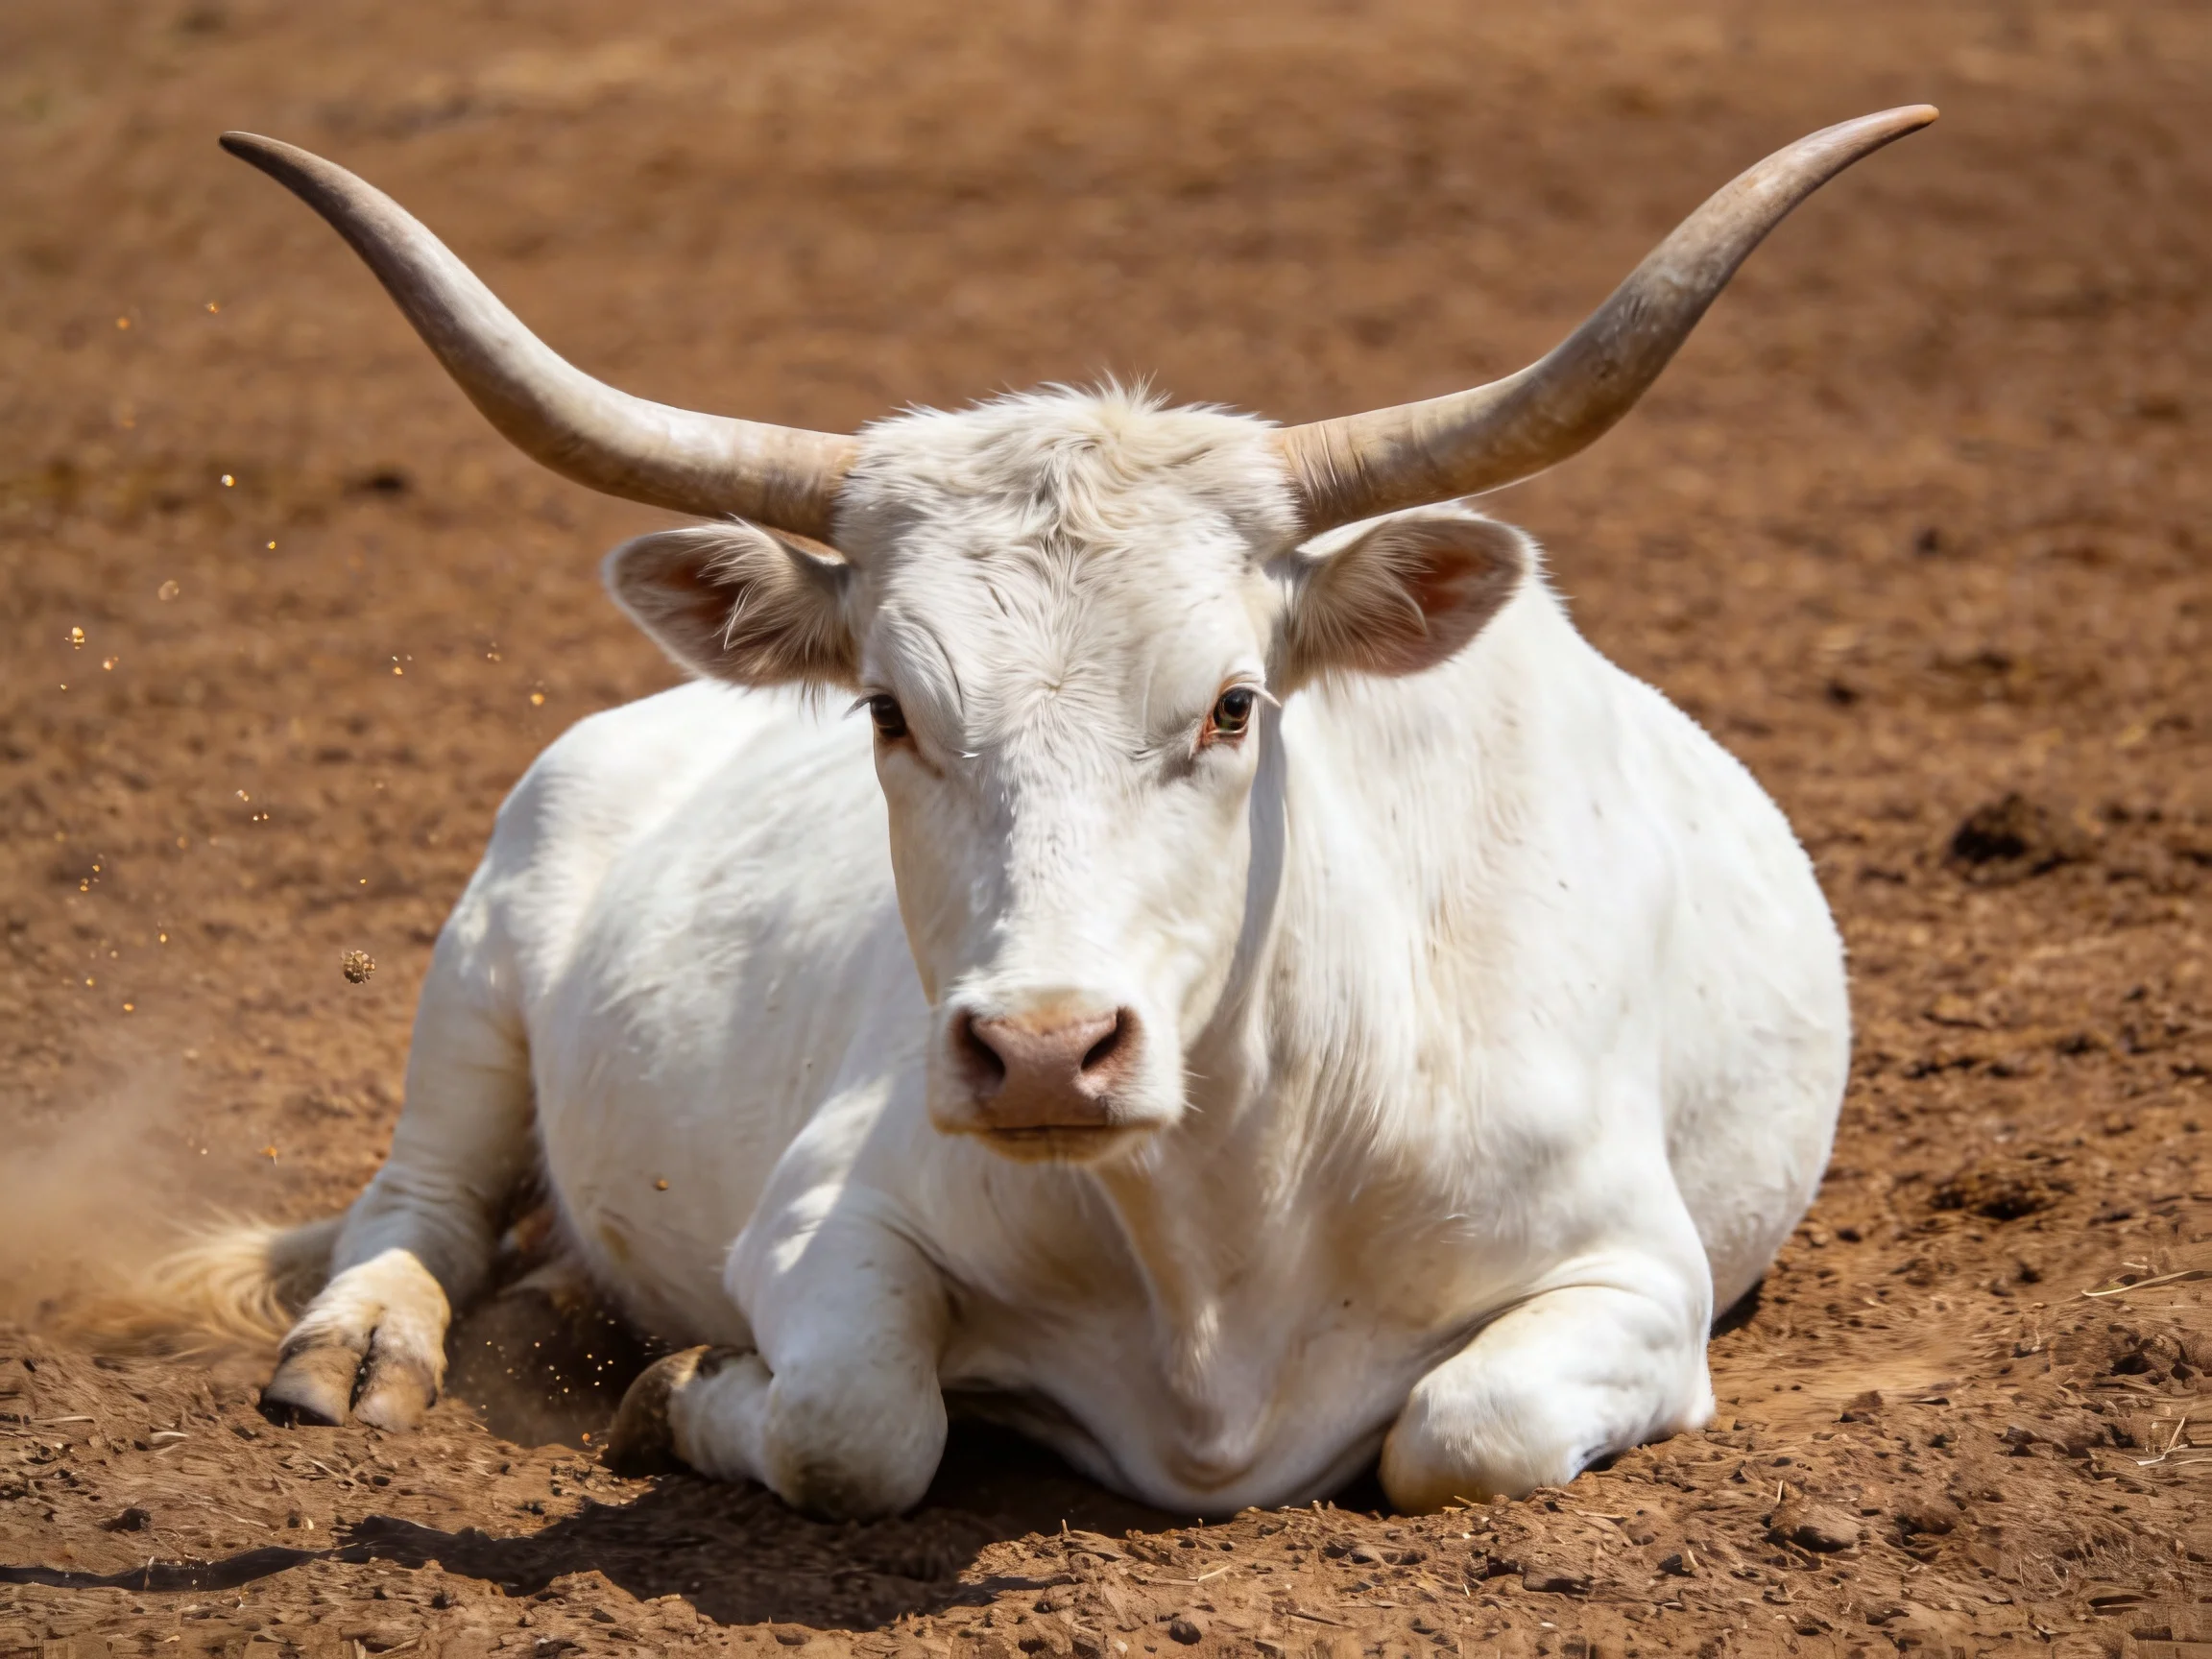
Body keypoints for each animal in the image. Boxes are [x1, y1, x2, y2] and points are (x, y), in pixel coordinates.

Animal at [178, 107, 1934, 1520]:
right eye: (888, 709)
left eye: (1233, 703)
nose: (1037, 1050)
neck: (1222, 1222)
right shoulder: (826, 1214)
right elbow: (852, 1426)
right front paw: (682, 1390)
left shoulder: (1641, 1274)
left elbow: (1467, 1431)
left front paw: (665, 1380)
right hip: (484, 949)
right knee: (425, 1200)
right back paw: (358, 1346)